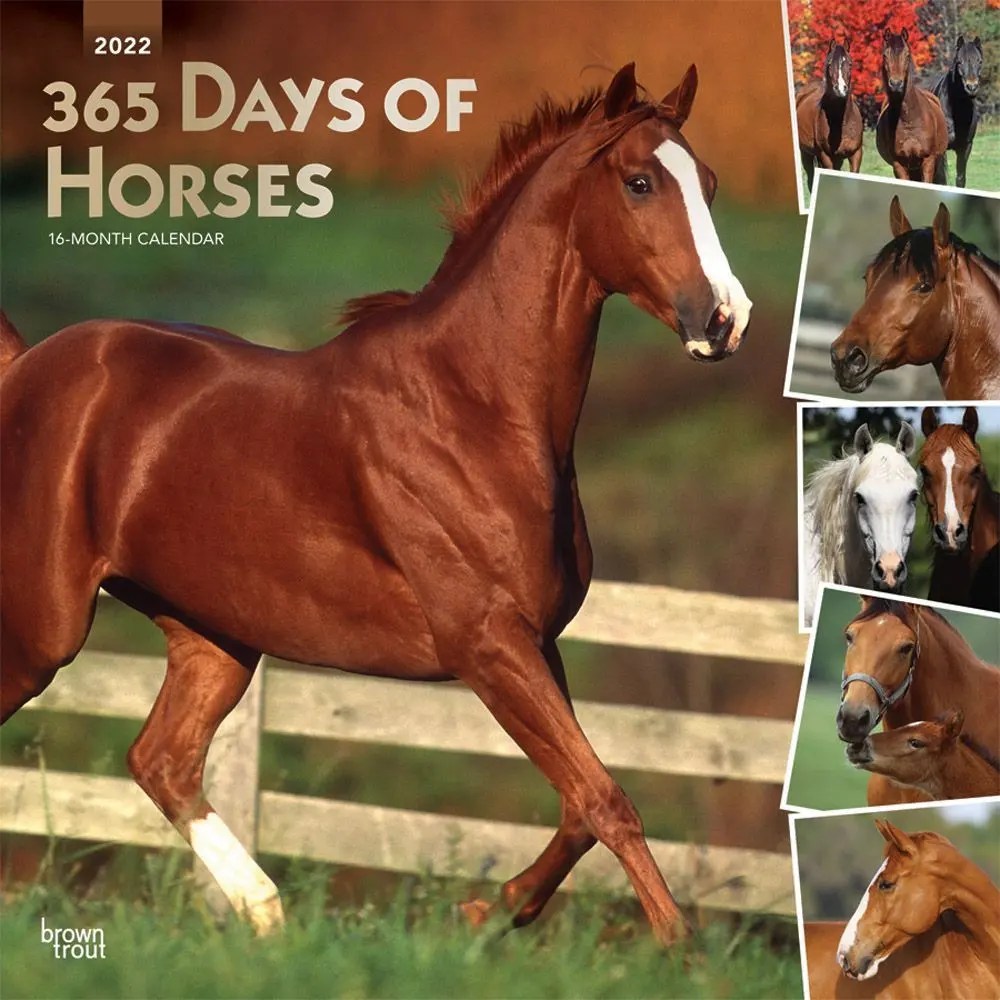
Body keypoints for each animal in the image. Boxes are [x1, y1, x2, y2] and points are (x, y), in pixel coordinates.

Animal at [0, 63, 753, 944]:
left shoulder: (538, 642)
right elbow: (607, 800)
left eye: (708, 183)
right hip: (41, 631)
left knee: (161, 759)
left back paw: (269, 915)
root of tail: (23, 368)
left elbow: (577, 805)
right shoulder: (489, 645)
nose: (725, 319)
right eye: (639, 182)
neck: (476, 409)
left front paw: (483, 911)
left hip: (213, 638)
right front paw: (680, 948)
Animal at [796, 37, 863, 193]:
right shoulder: (825, 156)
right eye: (830, 63)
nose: (841, 89)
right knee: (811, 178)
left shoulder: (856, 153)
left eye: (850, 63)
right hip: (806, 154)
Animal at [875, 29, 947, 184]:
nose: (896, 84)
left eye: (907, 55)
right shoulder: (899, 164)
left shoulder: (928, 161)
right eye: (885, 55)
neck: (908, 119)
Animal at [931, 35, 984, 188]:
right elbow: (940, 179)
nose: (971, 87)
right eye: (960, 62)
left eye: (979, 61)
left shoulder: (965, 147)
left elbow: (960, 179)